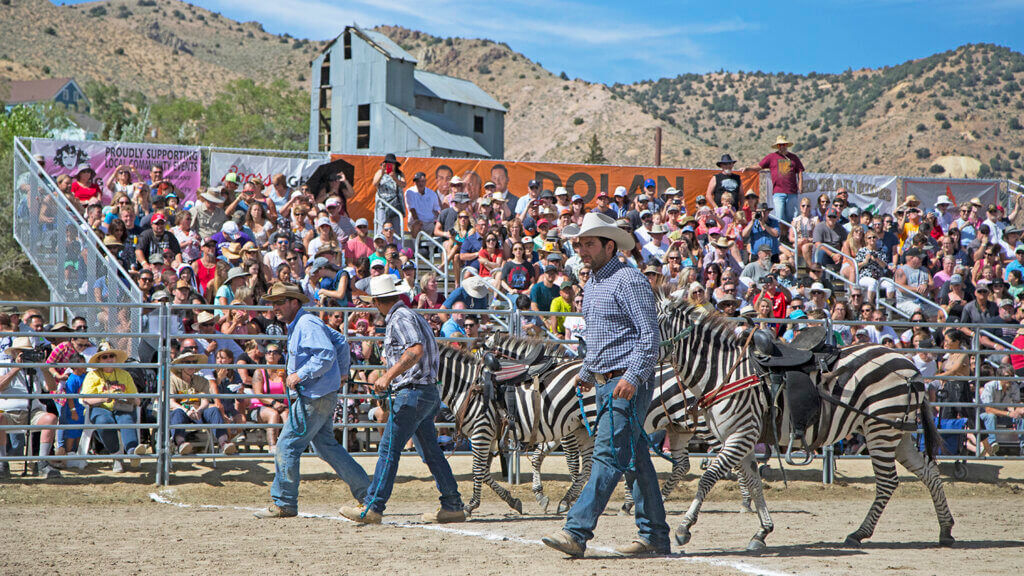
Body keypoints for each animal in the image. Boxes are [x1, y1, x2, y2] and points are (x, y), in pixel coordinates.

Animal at [659, 293, 954, 549]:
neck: (723, 371)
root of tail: (910, 367)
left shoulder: (740, 435)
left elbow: (708, 478)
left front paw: (684, 528)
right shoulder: (741, 439)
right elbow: (754, 484)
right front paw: (762, 532)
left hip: (880, 430)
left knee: (888, 482)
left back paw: (859, 533)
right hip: (897, 432)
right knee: (928, 472)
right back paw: (946, 529)